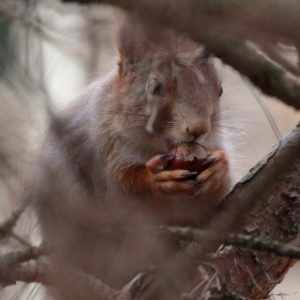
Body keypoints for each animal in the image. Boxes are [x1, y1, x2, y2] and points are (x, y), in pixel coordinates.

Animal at [33, 17, 230, 298]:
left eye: (220, 89)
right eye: (155, 86)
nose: (198, 129)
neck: (155, 147)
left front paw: (219, 169)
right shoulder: (100, 149)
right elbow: (119, 189)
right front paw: (157, 180)